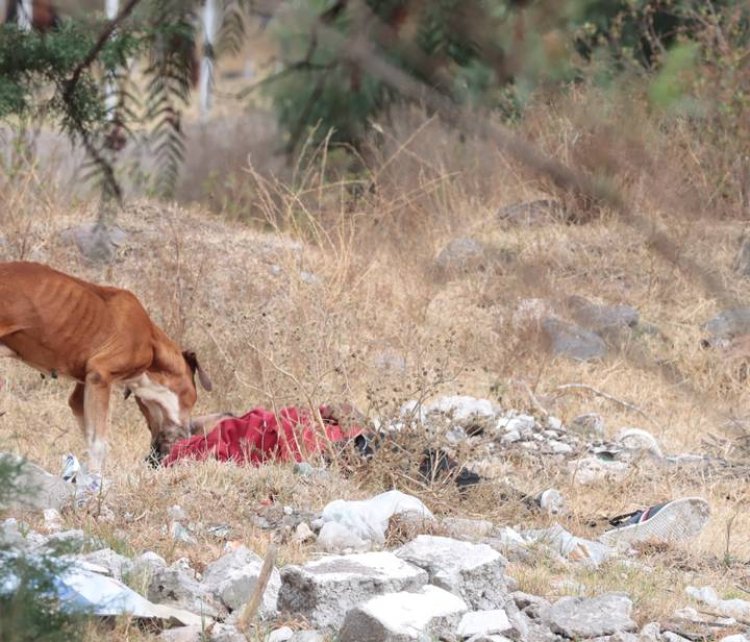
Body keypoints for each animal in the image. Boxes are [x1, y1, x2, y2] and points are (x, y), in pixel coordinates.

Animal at [0, 262, 213, 470]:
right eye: (191, 399)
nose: (189, 434)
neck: (152, 346)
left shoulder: (83, 390)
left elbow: (89, 437)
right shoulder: (100, 377)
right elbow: (98, 444)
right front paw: (95, 480)